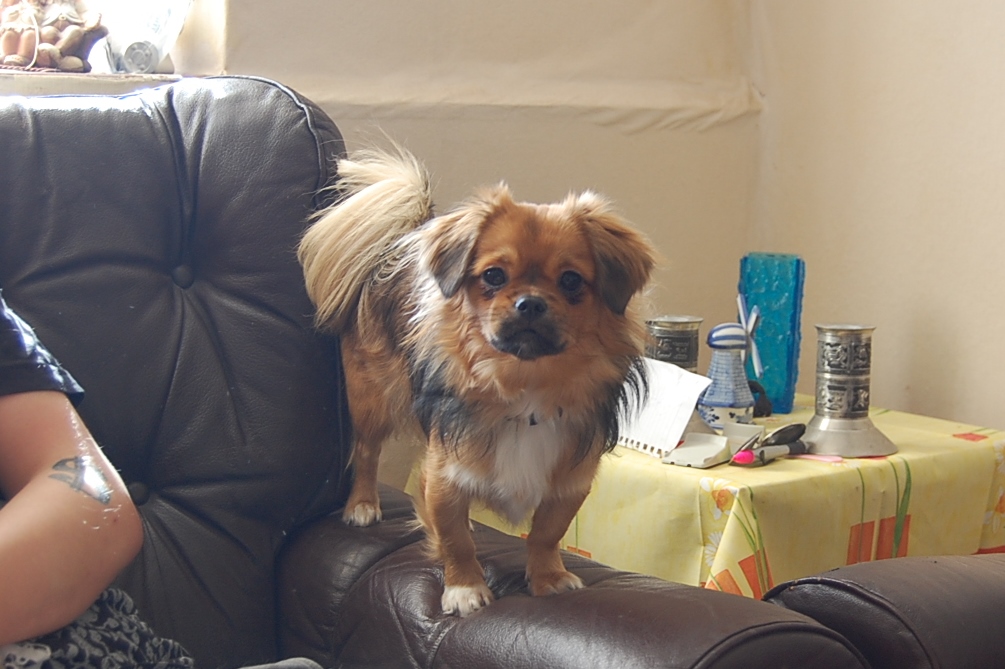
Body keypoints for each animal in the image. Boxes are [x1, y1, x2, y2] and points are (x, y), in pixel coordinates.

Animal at [298, 146, 656, 617]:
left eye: (571, 281)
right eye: (494, 276)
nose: (530, 303)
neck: (526, 388)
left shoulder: (569, 482)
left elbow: (546, 534)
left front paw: (548, 578)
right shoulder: (444, 473)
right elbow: (454, 540)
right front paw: (465, 588)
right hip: (371, 398)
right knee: (367, 451)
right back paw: (362, 504)